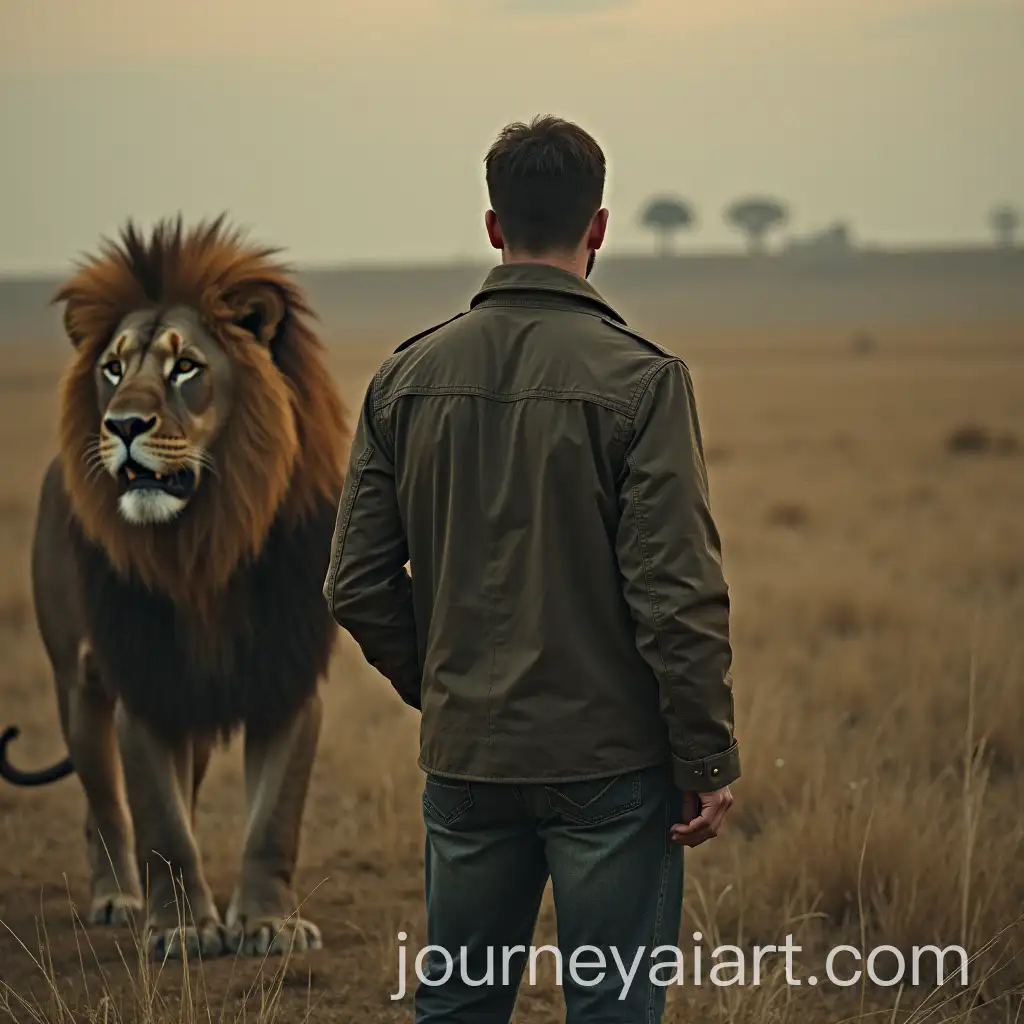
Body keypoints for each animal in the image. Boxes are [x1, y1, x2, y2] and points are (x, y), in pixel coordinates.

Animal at [0, 216, 350, 961]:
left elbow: (273, 818)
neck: (203, 546)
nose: (123, 426)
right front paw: (183, 929)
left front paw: (268, 924)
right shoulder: (145, 679)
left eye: (184, 367)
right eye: (113, 368)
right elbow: (158, 822)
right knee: (105, 806)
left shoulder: (287, 677)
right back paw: (121, 900)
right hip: (77, 686)